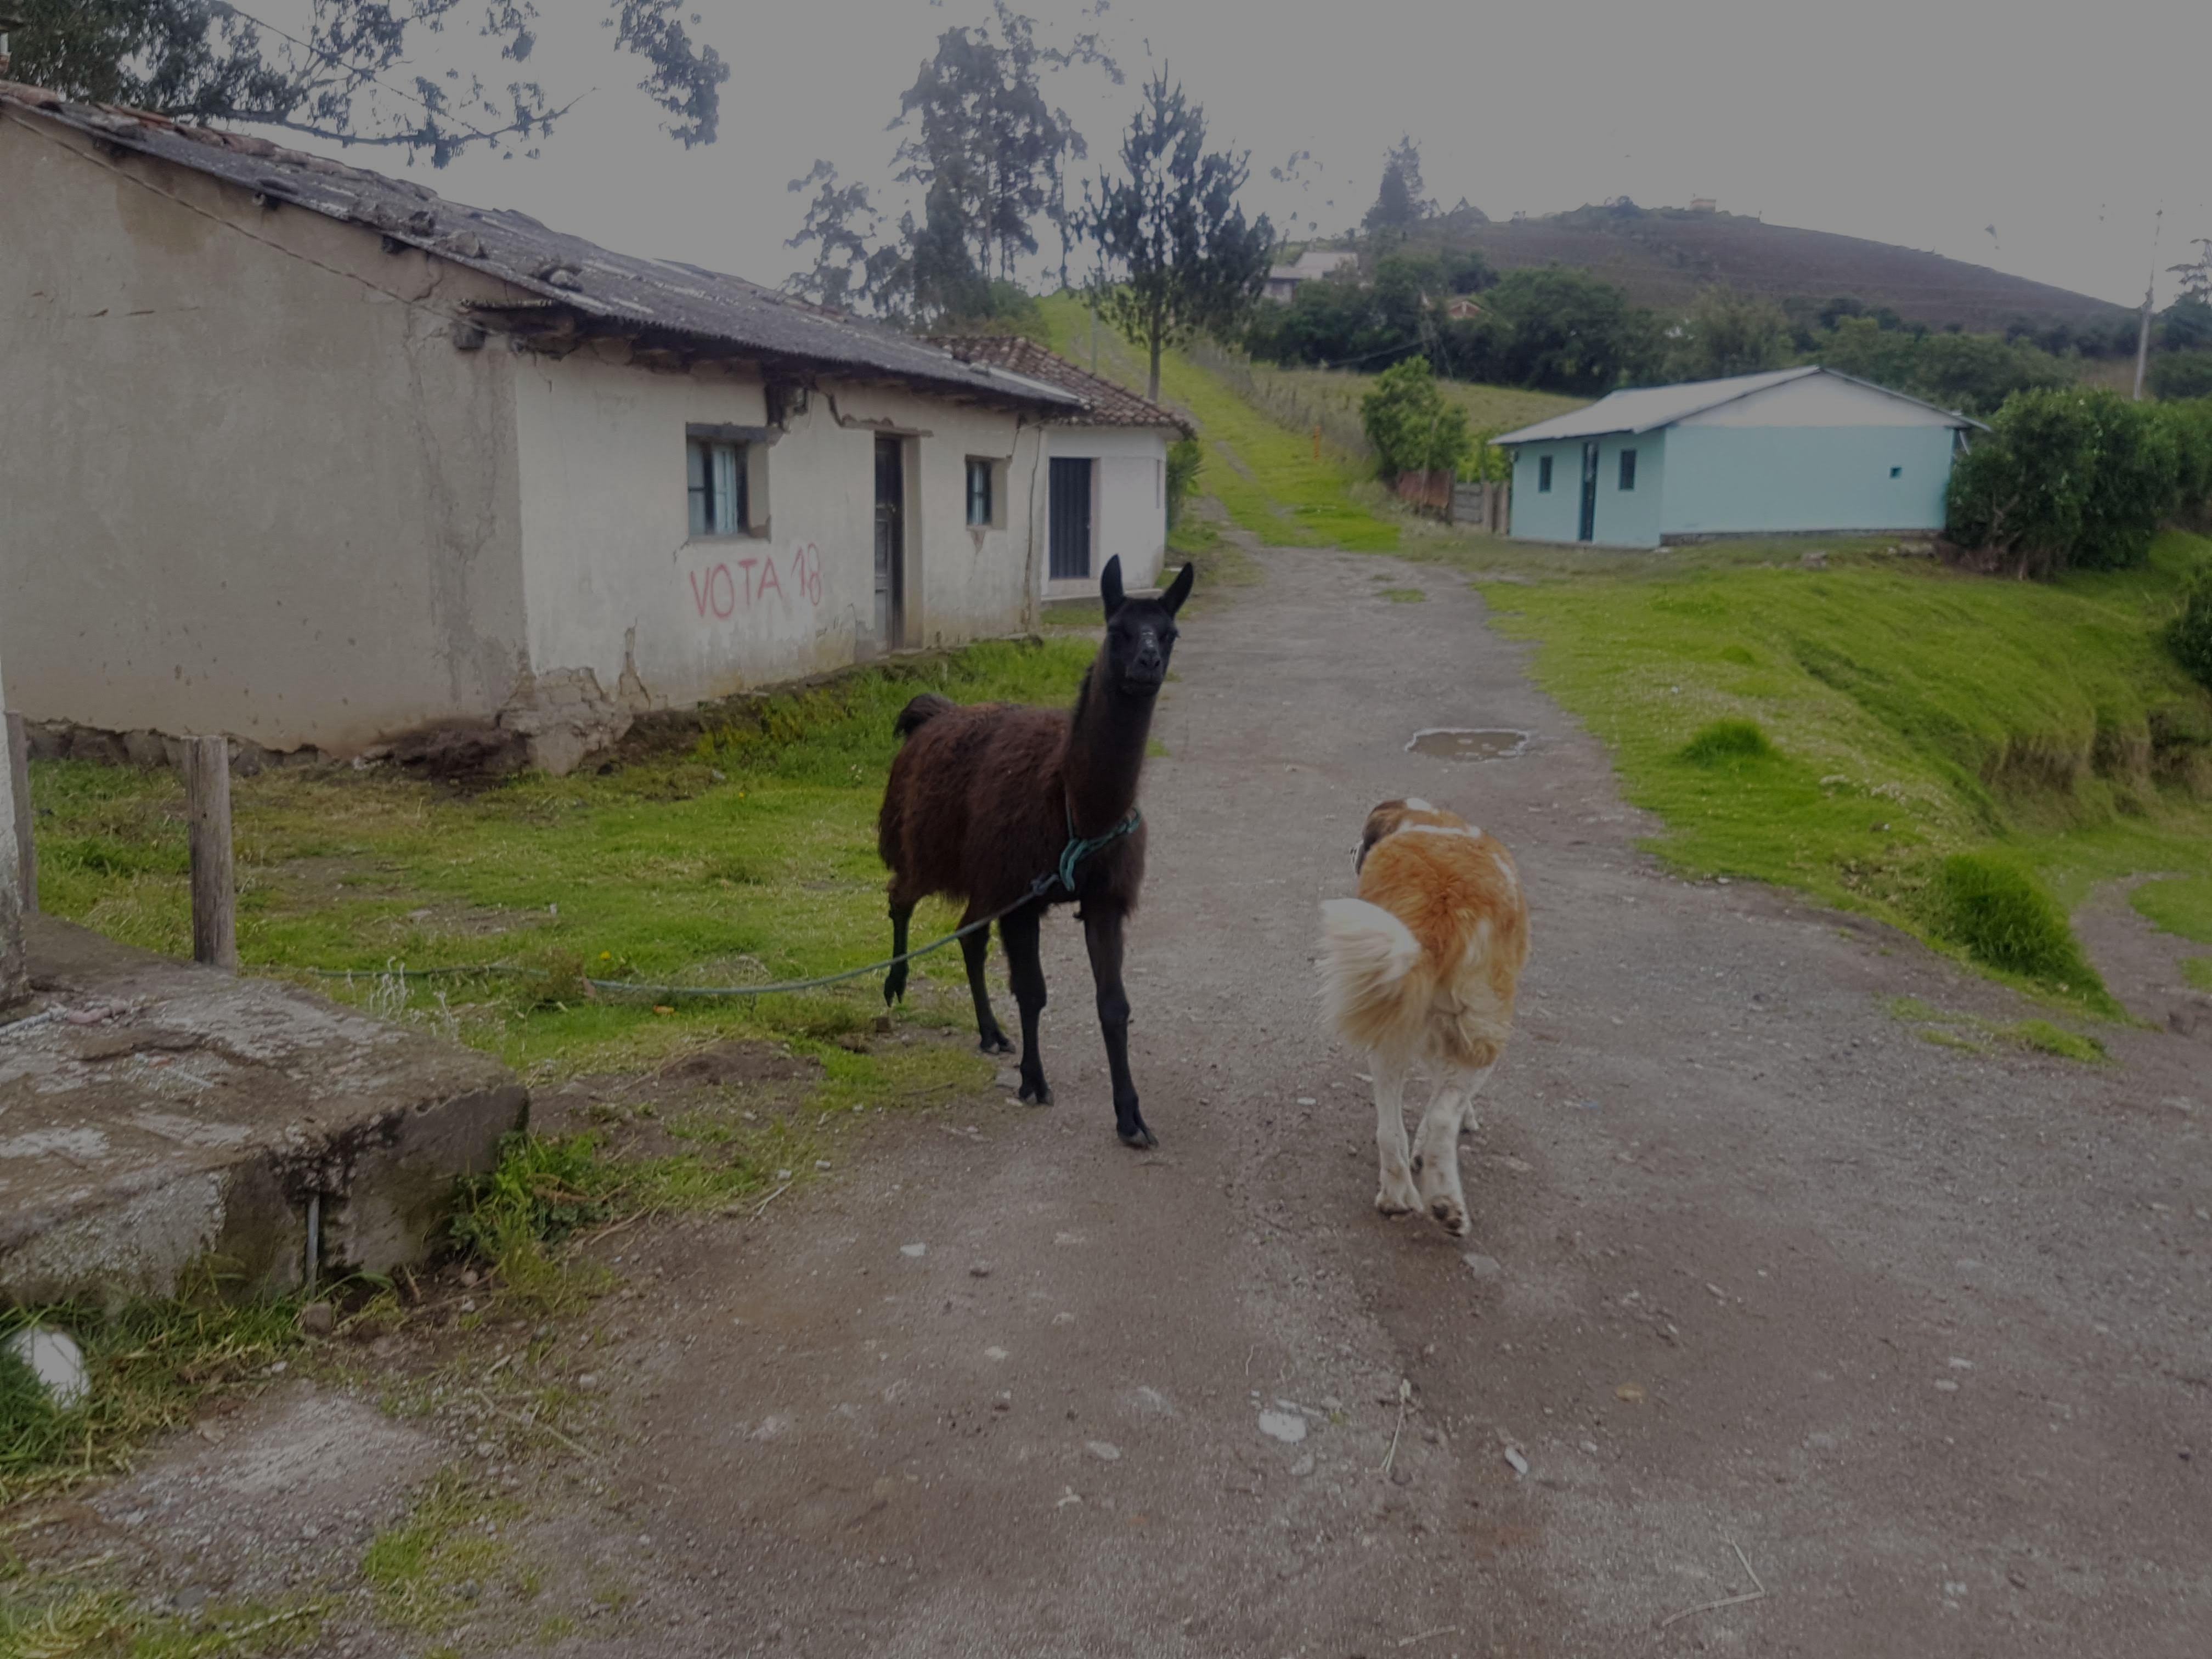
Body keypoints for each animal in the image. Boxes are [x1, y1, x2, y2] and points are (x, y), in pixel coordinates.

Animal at [1318, 800, 1531, 1238]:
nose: (1353, 849)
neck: (1427, 820)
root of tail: (1439, 902)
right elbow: (1442, 1100)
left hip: (1390, 1018)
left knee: (1388, 1127)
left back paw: (1396, 1196)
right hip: (1485, 1031)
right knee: (1442, 1120)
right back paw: (1447, 1204)